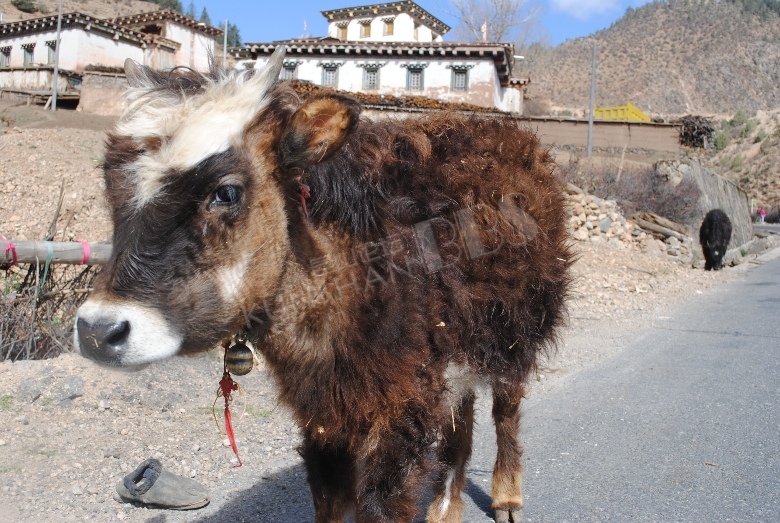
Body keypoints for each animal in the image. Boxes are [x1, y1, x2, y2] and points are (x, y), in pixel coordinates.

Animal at [73, 48, 573, 523]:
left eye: (227, 191)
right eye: (110, 182)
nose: (98, 331)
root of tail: (511, 136)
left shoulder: (400, 412)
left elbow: (380, 506)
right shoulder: (325, 416)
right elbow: (330, 503)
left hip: (519, 333)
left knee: (505, 410)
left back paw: (507, 498)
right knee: (461, 420)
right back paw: (445, 509)